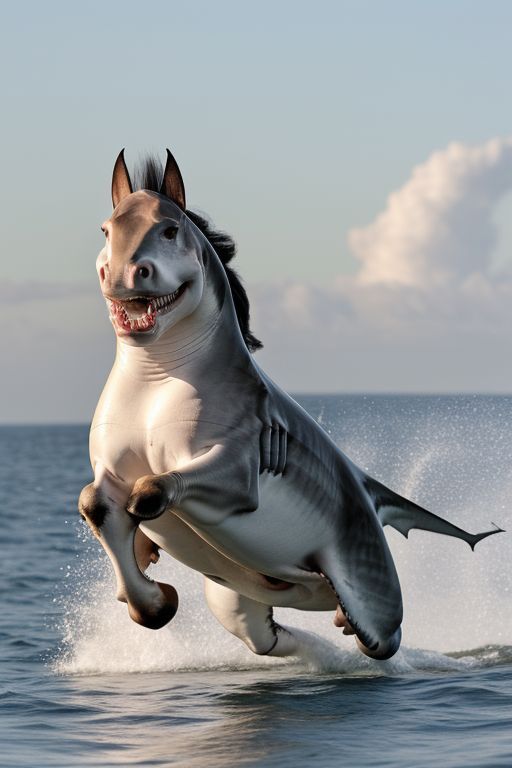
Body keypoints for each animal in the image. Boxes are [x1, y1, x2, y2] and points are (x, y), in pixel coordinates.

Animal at [78, 149, 502, 661]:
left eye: (170, 230)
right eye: (106, 230)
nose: (123, 273)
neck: (155, 379)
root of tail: (367, 492)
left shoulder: (240, 468)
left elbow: (151, 490)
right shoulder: (110, 472)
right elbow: (94, 502)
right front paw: (155, 601)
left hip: (371, 584)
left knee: (383, 637)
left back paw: (349, 629)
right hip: (231, 596)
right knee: (265, 635)